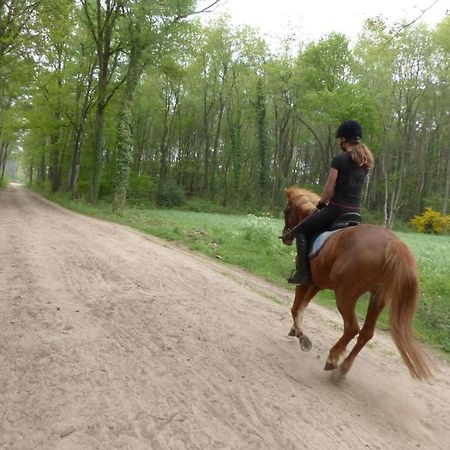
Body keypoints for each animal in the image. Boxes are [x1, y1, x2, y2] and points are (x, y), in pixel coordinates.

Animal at [282, 186, 432, 380]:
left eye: (286, 211)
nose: (286, 236)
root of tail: (392, 242)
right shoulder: (317, 284)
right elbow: (303, 305)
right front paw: (296, 330)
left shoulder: (306, 281)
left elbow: (296, 307)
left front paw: (301, 335)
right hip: (377, 298)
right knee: (366, 333)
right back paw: (344, 366)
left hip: (346, 294)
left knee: (352, 328)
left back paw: (333, 359)